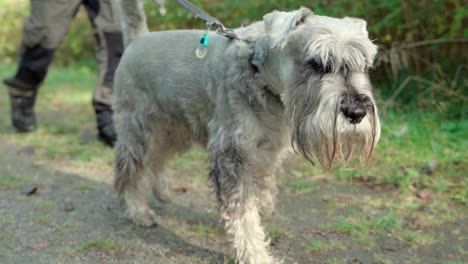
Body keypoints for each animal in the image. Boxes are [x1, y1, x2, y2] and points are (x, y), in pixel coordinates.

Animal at [112, 1, 380, 262]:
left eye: (365, 65)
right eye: (318, 63)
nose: (356, 112)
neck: (261, 76)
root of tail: (139, 38)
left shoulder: (268, 150)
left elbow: (261, 188)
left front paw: (261, 210)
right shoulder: (232, 154)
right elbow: (242, 215)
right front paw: (256, 254)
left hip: (175, 129)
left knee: (158, 157)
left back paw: (162, 191)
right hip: (137, 129)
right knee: (130, 168)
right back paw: (138, 211)